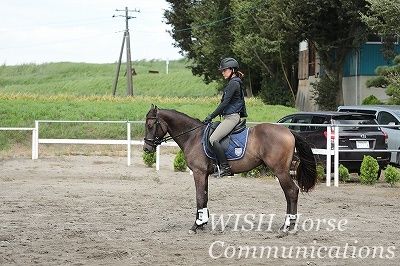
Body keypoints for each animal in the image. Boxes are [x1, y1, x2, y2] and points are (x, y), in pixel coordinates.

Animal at [143, 105, 316, 234]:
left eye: (150, 125)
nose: (146, 148)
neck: (193, 136)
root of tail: (288, 131)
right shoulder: (204, 174)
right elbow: (204, 197)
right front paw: (203, 223)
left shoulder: (198, 173)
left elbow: (199, 197)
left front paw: (195, 225)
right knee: (289, 193)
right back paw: (288, 225)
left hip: (280, 171)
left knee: (291, 192)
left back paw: (288, 227)